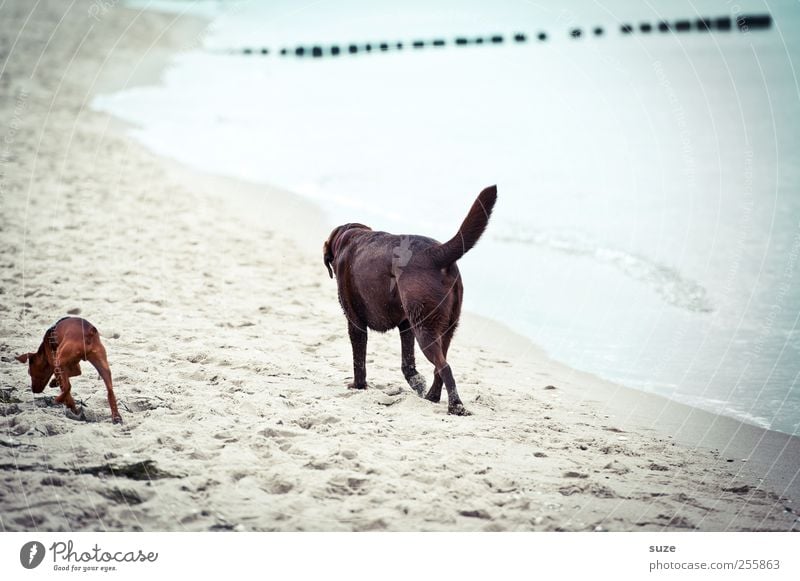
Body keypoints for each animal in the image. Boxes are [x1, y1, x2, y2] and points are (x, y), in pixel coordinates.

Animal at [322, 184, 496, 414]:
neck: (350, 236)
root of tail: (436, 253)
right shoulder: (405, 325)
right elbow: (408, 363)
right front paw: (416, 382)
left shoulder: (355, 321)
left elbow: (359, 359)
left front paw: (358, 386)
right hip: (443, 327)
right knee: (439, 366)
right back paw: (432, 397)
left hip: (425, 329)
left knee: (444, 367)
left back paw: (455, 406)